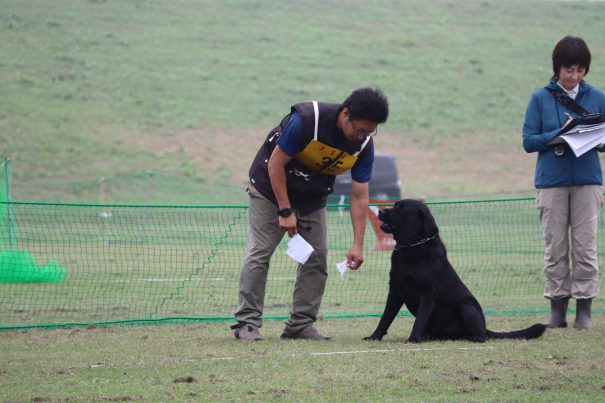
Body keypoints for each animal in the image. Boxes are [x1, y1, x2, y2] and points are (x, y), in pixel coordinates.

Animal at [364, 199, 546, 343]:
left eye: (402, 208)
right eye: (395, 205)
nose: (380, 211)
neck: (411, 248)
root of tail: (484, 327)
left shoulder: (427, 295)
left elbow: (419, 321)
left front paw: (413, 339)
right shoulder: (395, 292)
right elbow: (385, 319)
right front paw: (374, 337)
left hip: (466, 306)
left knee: (481, 335)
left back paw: (475, 337)